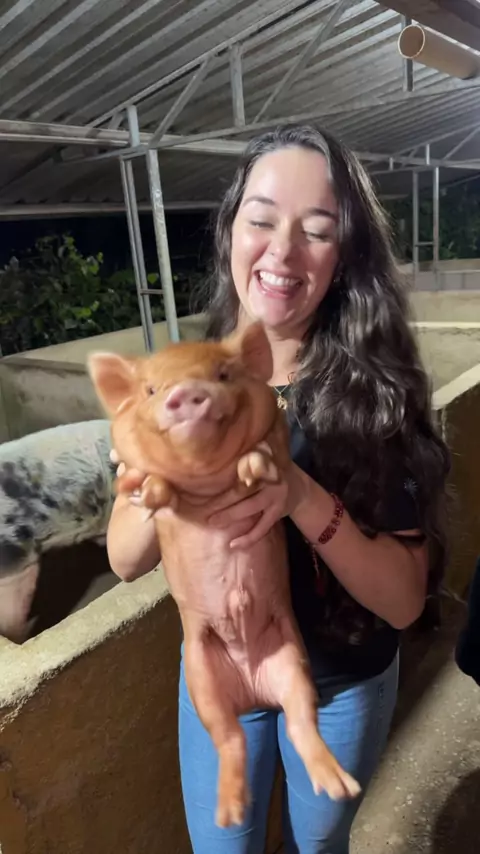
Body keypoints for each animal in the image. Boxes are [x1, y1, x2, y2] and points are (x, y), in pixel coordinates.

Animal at [88, 322, 360, 828]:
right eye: (152, 390)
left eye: (223, 374)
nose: (186, 392)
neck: (206, 479)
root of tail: (254, 693)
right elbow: (149, 482)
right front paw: (147, 494)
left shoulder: (274, 433)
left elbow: (265, 453)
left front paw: (252, 471)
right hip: (202, 679)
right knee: (229, 736)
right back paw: (229, 814)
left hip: (294, 664)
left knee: (299, 723)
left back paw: (340, 787)